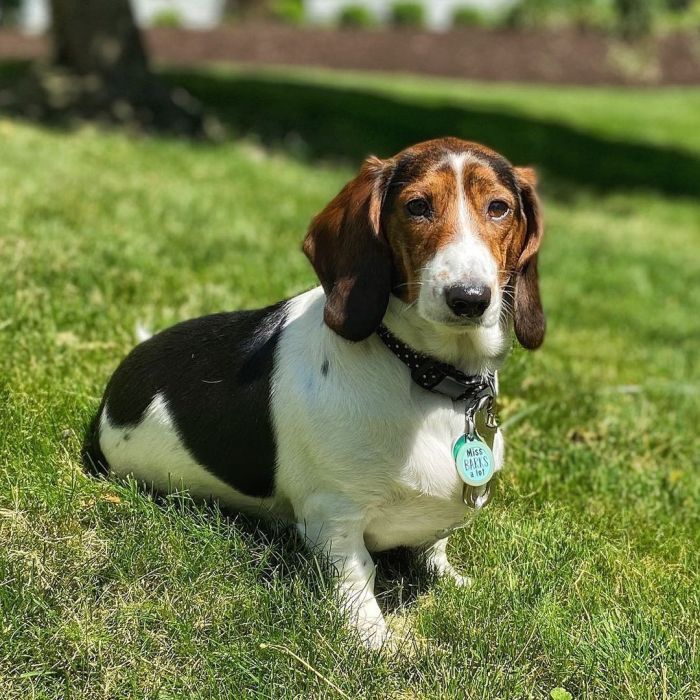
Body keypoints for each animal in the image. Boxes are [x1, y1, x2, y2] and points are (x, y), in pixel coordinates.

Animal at [87, 138, 544, 652]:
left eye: (499, 207)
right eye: (417, 206)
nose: (469, 298)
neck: (423, 374)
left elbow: (434, 547)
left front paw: (452, 579)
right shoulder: (334, 515)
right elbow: (358, 574)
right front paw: (375, 641)